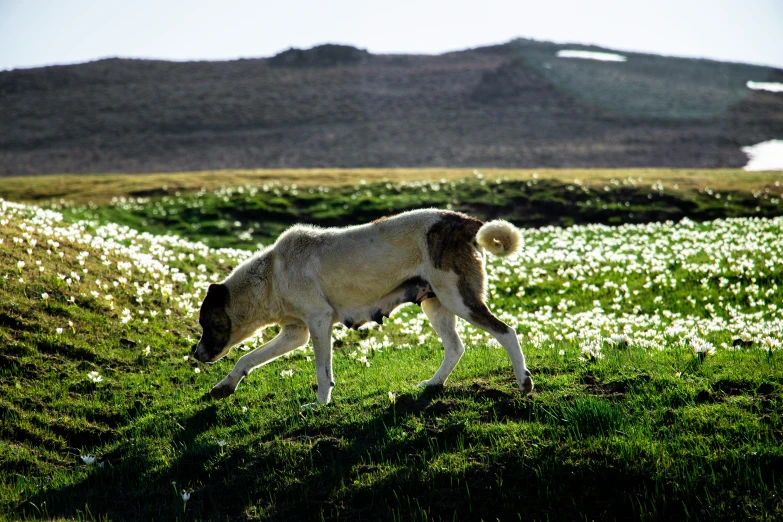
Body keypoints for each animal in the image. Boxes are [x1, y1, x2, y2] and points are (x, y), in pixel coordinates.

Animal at [192, 208, 532, 406]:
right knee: (455, 347)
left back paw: (523, 381)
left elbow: (322, 372)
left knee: (506, 332)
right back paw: (434, 383)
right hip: (436, 305)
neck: (272, 275)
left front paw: (320, 404)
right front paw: (225, 386)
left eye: (206, 323)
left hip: (457, 299)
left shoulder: (318, 322)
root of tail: (467, 222)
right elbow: (246, 359)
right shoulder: (295, 333)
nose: (196, 354)